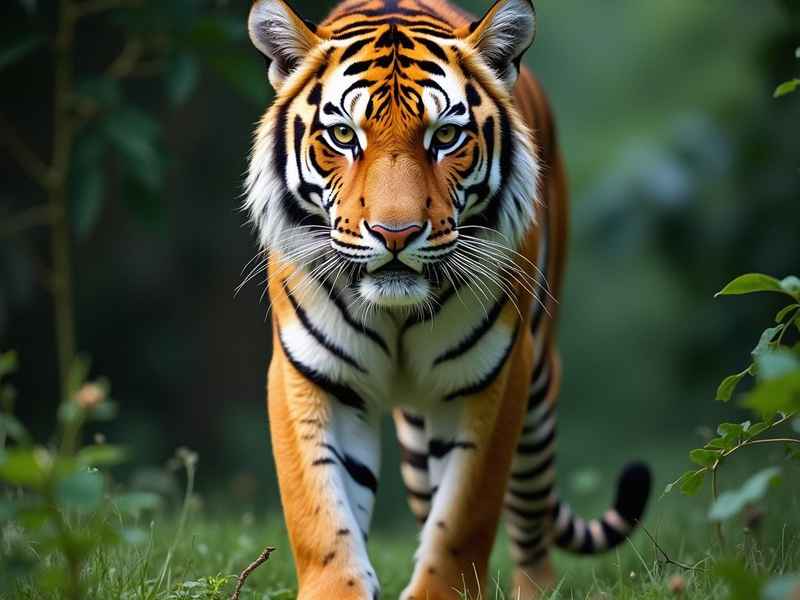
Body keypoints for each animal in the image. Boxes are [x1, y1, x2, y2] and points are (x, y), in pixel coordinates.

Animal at [243, 0, 652, 598]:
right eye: (343, 135)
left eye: (445, 137)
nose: (394, 233)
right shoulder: (312, 373)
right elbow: (321, 511)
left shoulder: (490, 378)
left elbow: (463, 514)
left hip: (535, 388)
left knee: (530, 524)